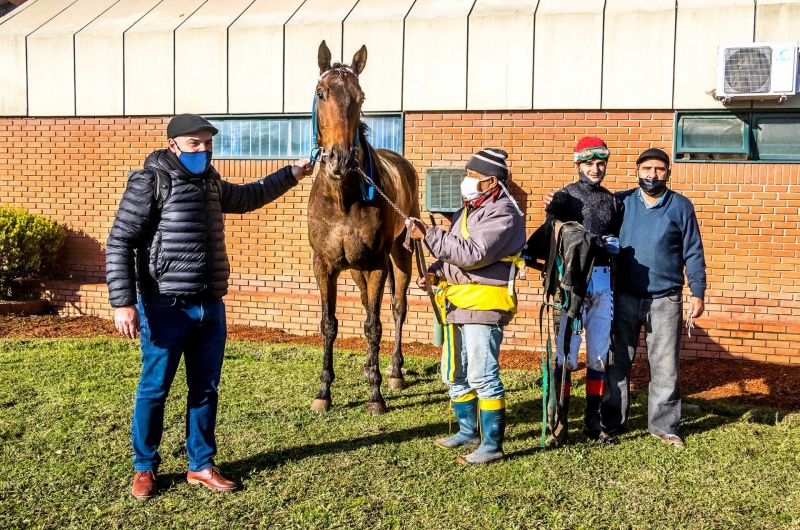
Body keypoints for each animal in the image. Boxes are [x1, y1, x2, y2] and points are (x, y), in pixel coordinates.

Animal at [306, 40, 418, 412]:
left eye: (361, 96)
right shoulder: (324, 265)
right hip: (355, 268)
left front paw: (376, 394)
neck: (343, 198)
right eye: (321, 92)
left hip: (400, 255)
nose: (339, 159)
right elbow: (329, 324)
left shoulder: (375, 264)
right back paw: (371, 366)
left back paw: (393, 372)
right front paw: (323, 392)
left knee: (396, 308)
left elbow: (373, 326)